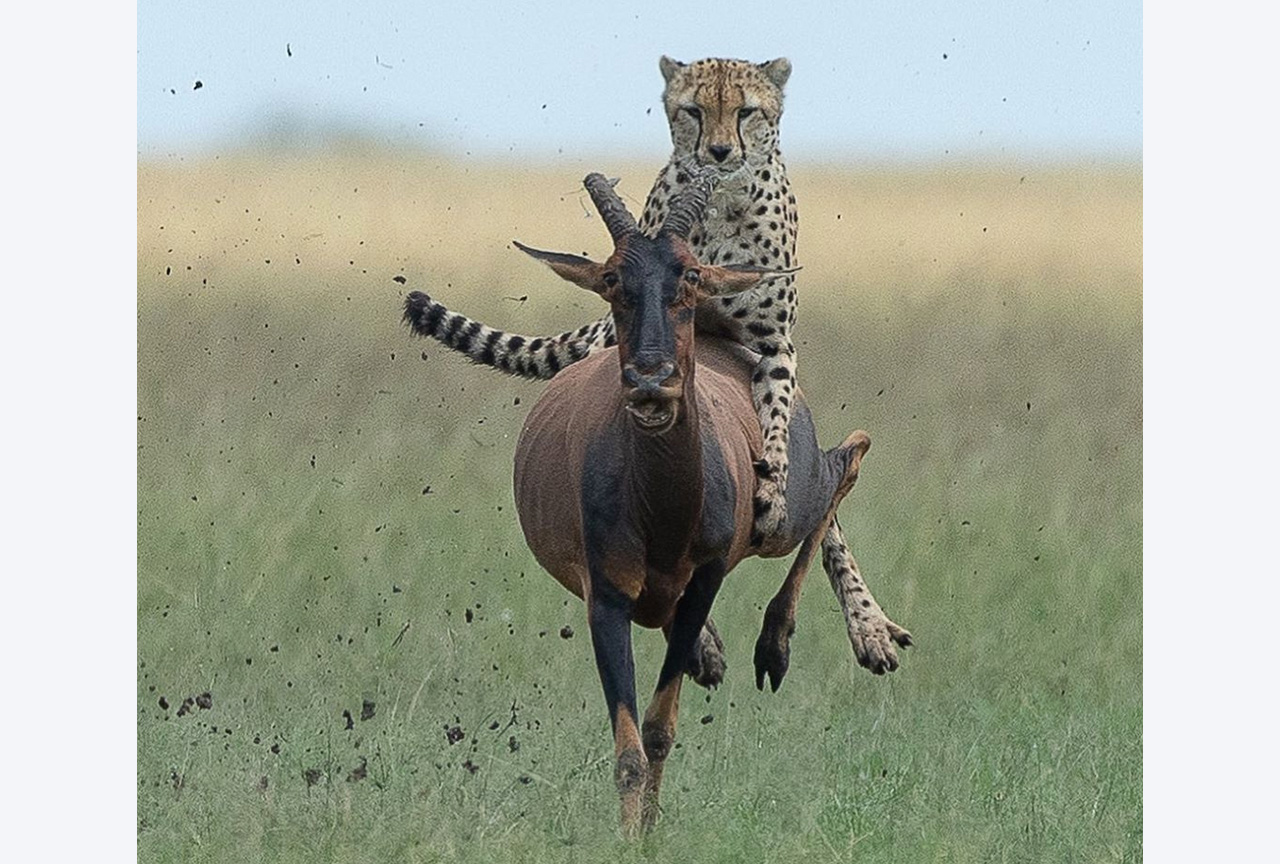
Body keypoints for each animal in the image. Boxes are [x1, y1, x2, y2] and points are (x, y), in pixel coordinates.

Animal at [476, 174, 896, 829]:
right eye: (610, 279)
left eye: (690, 276)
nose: (651, 382)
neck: (661, 511)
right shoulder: (606, 600)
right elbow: (629, 748)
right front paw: (635, 833)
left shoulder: (705, 580)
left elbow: (657, 731)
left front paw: (647, 833)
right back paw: (721, 652)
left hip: (782, 514)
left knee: (850, 455)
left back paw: (783, 643)